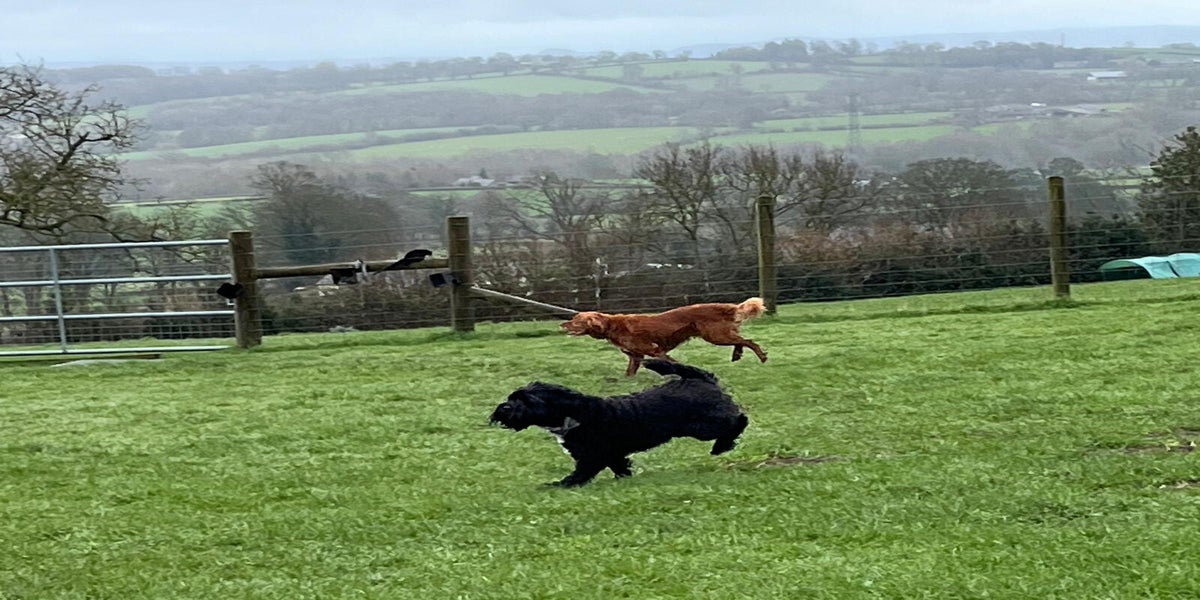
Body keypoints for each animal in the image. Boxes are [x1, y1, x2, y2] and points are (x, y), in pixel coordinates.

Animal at [489, 359, 749, 487]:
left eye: (525, 400)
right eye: (511, 397)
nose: (503, 409)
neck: (575, 413)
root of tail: (702, 379)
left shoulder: (593, 455)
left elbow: (580, 474)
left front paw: (559, 484)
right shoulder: (611, 454)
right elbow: (620, 467)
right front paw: (624, 479)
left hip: (703, 426)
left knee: (739, 421)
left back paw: (720, 447)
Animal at [560, 297, 768, 376]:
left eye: (575, 320)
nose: (562, 324)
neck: (612, 326)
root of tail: (726, 307)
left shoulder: (654, 350)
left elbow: (672, 363)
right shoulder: (636, 355)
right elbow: (629, 373)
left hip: (715, 336)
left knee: (748, 342)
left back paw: (761, 357)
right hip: (719, 335)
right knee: (741, 341)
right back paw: (737, 355)